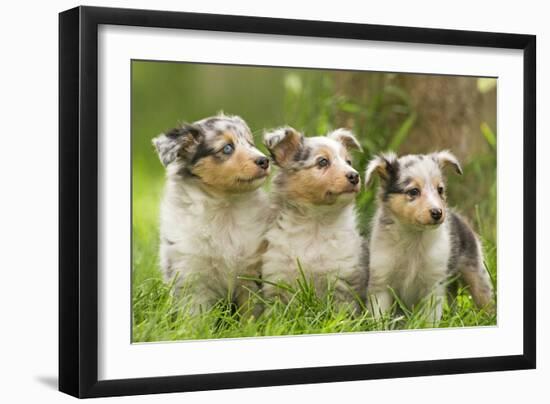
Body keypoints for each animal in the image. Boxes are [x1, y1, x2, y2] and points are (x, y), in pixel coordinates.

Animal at [152, 113, 272, 316]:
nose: (265, 160)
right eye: (227, 148)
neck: (225, 208)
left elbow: (251, 312)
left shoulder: (252, 272)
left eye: (250, 143)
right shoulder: (192, 275)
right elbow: (196, 316)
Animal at [260, 126, 368, 310]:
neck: (316, 221)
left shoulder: (343, 278)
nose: (354, 176)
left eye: (348, 162)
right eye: (322, 162)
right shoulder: (277, 277)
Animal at [366, 150, 496, 324]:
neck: (414, 237)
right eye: (413, 191)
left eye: (440, 190)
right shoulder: (381, 283)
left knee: (485, 299)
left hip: (476, 273)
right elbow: (380, 316)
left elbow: (429, 318)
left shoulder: (433, 285)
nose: (437, 213)